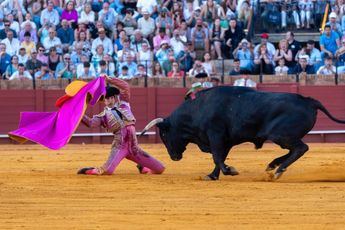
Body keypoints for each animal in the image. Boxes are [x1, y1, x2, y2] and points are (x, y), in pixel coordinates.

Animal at [140, 86, 344, 180]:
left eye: (164, 135)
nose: (174, 157)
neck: (198, 109)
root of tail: (309, 100)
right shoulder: (226, 141)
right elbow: (219, 157)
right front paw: (212, 176)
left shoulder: (216, 136)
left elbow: (217, 157)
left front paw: (230, 171)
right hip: (284, 137)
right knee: (295, 149)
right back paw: (273, 165)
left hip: (280, 135)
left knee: (301, 148)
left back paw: (278, 171)